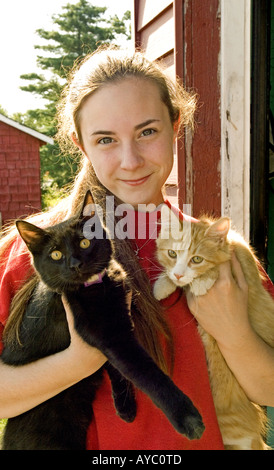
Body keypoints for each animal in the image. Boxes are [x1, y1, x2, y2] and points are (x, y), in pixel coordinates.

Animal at [1, 192, 204, 452]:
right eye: (56, 255)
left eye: (85, 243)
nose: (75, 264)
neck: (97, 284)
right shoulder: (110, 335)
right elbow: (146, 372)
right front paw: (188, 419)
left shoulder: (117, 329)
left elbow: (117, 368)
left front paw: (126, 407)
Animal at [154, 207, 274, 450]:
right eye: (172, 254)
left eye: (197, 259)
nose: (179, 274)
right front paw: (164, 284)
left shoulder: (244, 262)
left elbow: (216, 270)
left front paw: (202, 282)